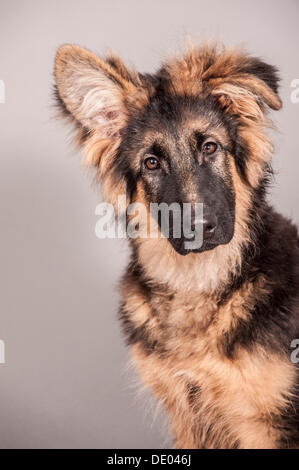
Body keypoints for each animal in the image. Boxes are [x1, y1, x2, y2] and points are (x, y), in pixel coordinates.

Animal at [54, 43, 299, 448]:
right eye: (152, 163)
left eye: (210, 147)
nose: (199, 228)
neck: (196, 281)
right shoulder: (187, 415)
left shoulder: (270, 422)